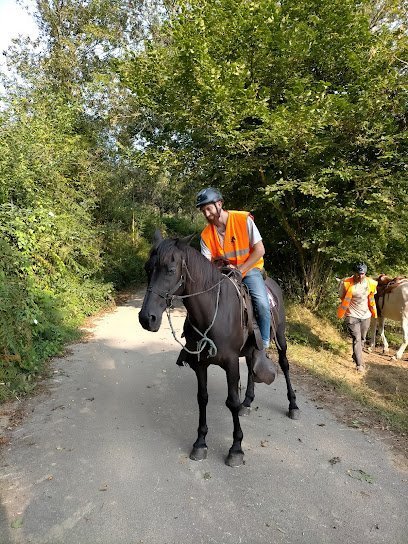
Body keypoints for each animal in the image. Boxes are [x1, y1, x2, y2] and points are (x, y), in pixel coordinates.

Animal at [140, 232, 300, 466]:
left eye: (170, 270)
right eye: (147, 268)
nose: (146, 318)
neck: (212, 313)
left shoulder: (231, 363)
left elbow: (231, 401)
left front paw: (236, 448)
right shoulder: (200, 364)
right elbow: (202, 398)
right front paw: (200, 443)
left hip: (280, 336)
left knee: (284, 365)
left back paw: (293, 406)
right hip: (251, 348)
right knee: (252, 366)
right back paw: (248, 402)